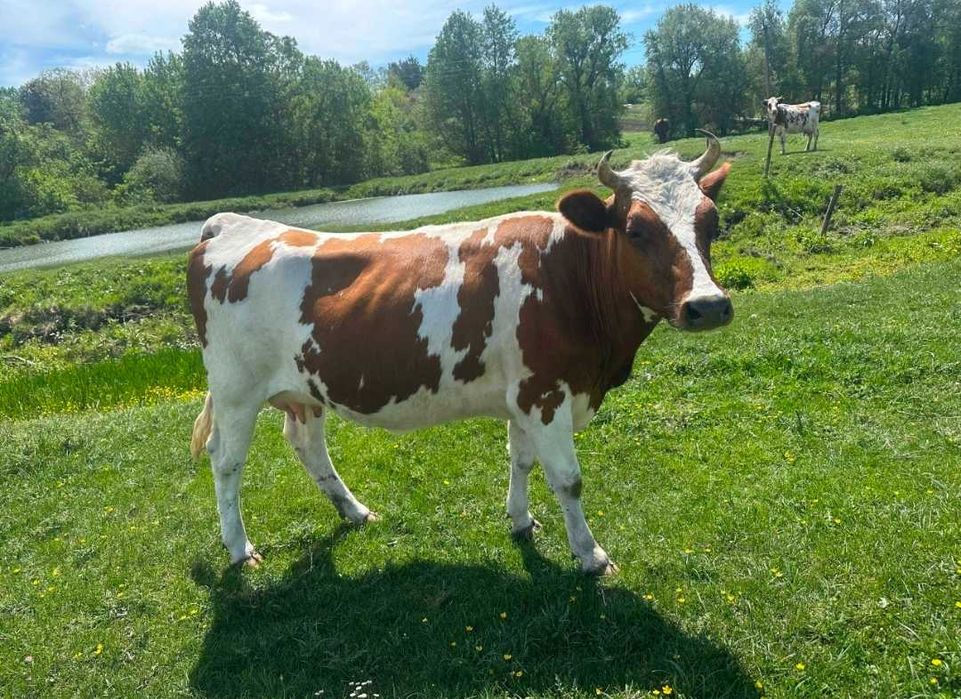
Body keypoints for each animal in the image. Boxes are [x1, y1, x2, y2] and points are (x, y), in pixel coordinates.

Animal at [187, 133, 733, 575]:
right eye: (636, 229)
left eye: (711, 221)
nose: (707, 305)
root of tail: (234, 224)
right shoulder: (545, 393)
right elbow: (568, 479)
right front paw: (590, 554)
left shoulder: (524, 394)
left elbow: (521, 460)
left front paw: (521, 520)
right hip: (236, 390)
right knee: (226, 462)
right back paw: (239, 548)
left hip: (305, 388)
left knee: (306, 445)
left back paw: (355, 511)